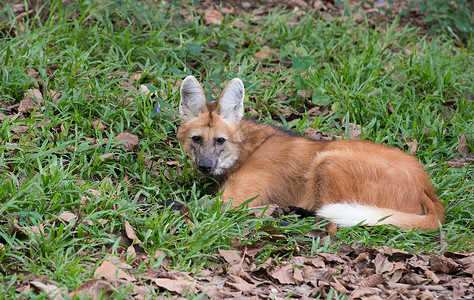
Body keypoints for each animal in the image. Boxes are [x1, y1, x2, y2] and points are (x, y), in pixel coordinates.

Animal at [177, 75, 444, 230]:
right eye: (197, 139)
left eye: (220, 140)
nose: (205, 166)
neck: (248, 150)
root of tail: (427, 189)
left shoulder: (234, 199)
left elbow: (187, 204)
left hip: (328, 161)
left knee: (331, 222)